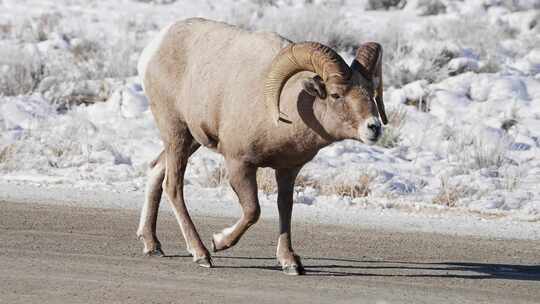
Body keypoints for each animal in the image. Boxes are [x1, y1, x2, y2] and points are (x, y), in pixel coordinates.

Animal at [137, 18, 386, 276]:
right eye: (336, 95)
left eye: (372, 92)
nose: (374, 127)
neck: (286, 111)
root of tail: (154, 48)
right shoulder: (239, 164)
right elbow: (252, 211)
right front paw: (219, 242)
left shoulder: (288, 170)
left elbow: (285, 208)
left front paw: (289, 262)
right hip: (176, 132)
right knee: (173, 186)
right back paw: (201, 253)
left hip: (191, 140)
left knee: (156, 169)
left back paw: (152, 245)